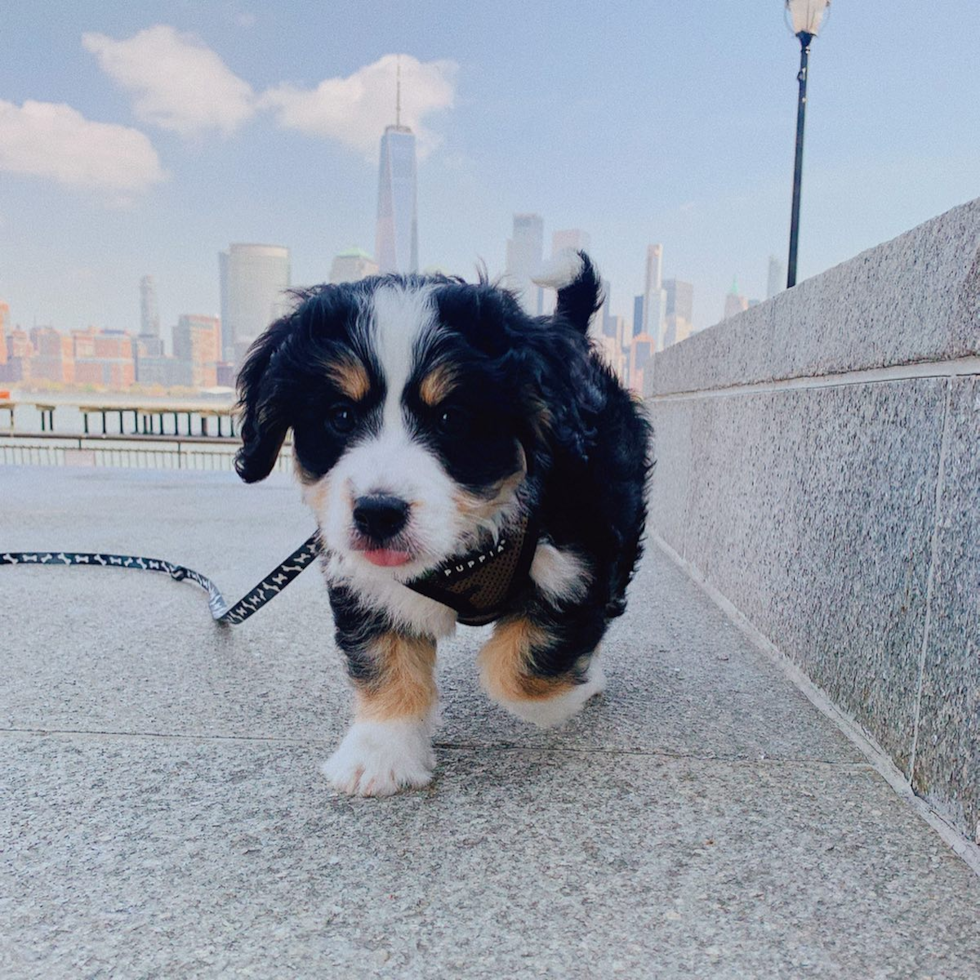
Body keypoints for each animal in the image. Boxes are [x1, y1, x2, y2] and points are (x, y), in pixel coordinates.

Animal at [234, 253, 652, 796]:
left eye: (452, 418)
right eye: (340, 416)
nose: (378, 512)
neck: (462, 552)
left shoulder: (581, 560)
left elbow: (518, 670)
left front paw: (570, 693)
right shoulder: (365, 581)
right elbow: (384, 659)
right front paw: (382, 751)